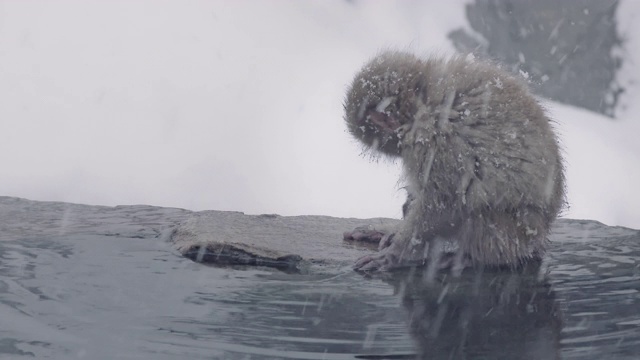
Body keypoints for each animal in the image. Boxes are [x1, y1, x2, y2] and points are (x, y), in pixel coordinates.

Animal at [344, 50, 564, 270]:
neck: (423, 100)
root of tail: (539, 238)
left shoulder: (436, 142)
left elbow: (444, 204)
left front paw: (394, 254)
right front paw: (392, 231)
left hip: (514, 230)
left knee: (478, 209)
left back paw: (470, 258)